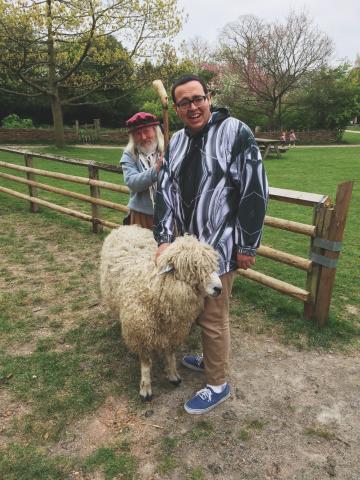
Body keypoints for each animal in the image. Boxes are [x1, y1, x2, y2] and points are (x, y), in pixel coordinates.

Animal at [99, 225, 222, 402]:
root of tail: (128, 226)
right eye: (193, 267)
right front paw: (145, 389)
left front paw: (173, 375)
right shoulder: (141, 332)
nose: (219, 289)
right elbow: (145, 364)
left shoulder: (173, 330)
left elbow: (170, 355)